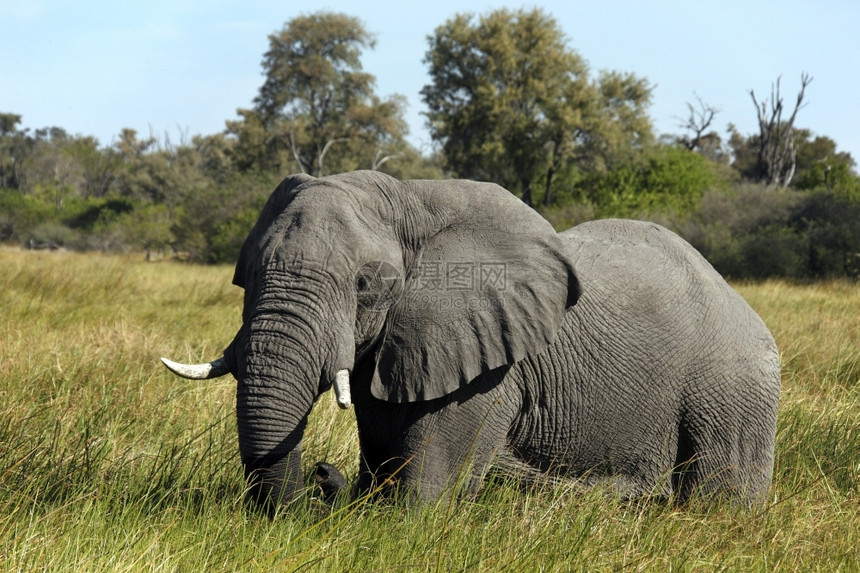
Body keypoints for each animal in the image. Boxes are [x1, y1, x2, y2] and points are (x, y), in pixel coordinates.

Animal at [160, 170, 780, 510]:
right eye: (246, 276)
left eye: (366, 285)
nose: (319, 473)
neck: (407, 198)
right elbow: (381, 449)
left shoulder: (487, 367)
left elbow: (419, 495)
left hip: (731, 391)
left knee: (718, 495)